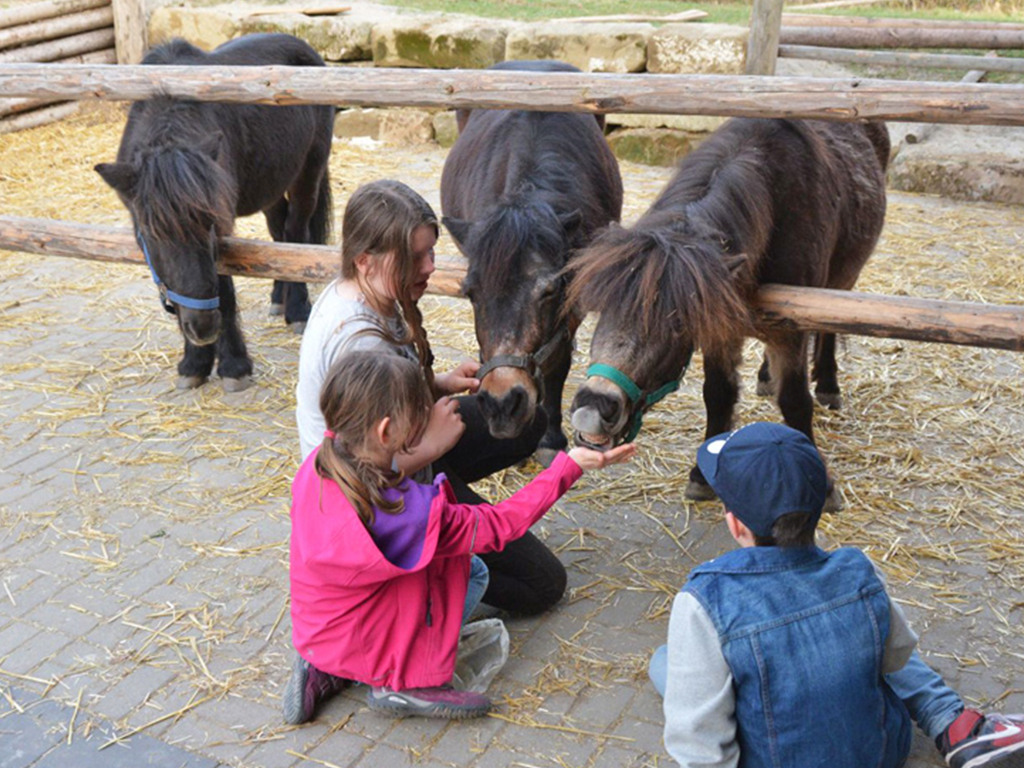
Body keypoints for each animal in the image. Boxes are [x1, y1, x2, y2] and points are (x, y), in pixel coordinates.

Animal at [565, 117, 892, 507]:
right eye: (603, 310)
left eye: (677, 324)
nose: (593, 409)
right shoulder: (720, 331)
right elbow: (718, 394)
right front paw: (701, 476)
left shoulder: (790, 333)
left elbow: (795, 401)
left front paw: (822, 487)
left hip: (839, 285)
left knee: (828, 331)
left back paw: (828, 384)